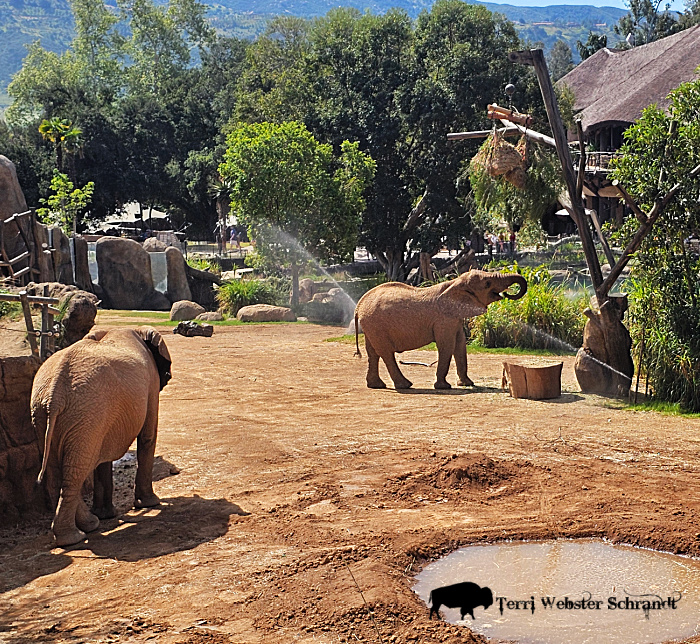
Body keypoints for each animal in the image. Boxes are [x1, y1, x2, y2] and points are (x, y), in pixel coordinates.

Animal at [31, 326, 172, 546]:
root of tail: (55, 394)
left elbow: (104, 454)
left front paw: (107, 515)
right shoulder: (151, 380)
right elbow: (148, 436)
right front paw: (150, 504)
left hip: (47, 414)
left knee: (60, 470)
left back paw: (89, 525)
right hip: (86, 413)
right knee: (77, 470)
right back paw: (75, 537)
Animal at [354, 269, 527, 390]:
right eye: (487, 284)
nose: (507, 294)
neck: (455, 283)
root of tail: (358, 306)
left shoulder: (454, 319)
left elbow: (460, 346)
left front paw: (467, 384)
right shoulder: (444, 320)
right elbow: (447, 346)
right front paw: (444, 386)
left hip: (371, 325)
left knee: (373, 353)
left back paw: (376, 385)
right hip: (375, 324)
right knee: (386, 352)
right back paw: (405, 385)